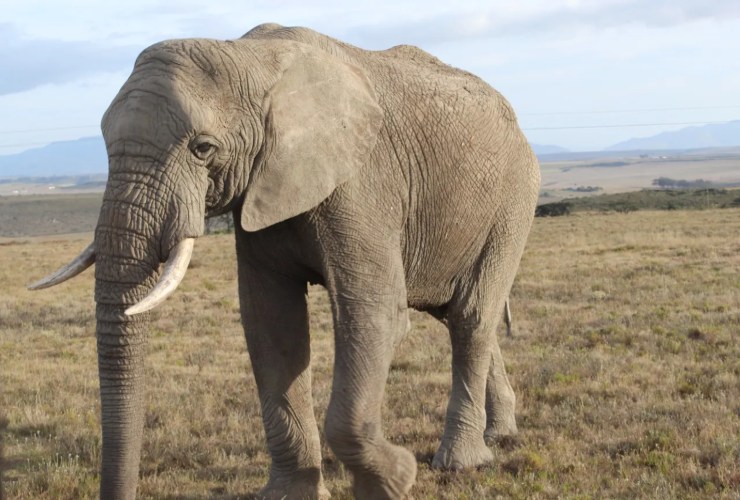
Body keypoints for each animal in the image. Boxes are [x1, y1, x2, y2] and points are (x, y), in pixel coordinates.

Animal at [30, 23, 539, 499]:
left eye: (203, 148)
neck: (250, 59)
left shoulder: (362, 183)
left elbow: (373, 315)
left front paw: (396, 480)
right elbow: (272, 326)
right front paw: (292, 494)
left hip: (514, 201)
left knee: (471, 316)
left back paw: (461, 462)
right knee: (457, 314)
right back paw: (499, 433)